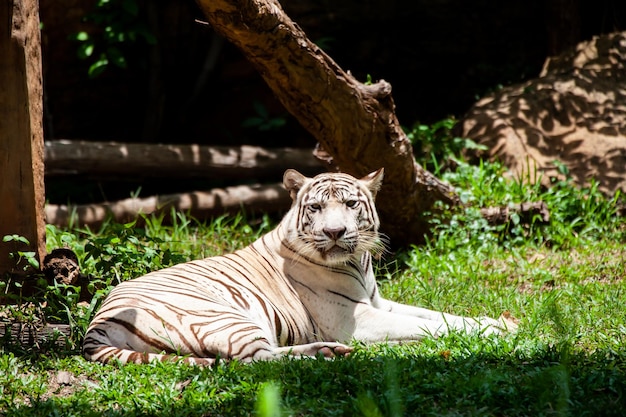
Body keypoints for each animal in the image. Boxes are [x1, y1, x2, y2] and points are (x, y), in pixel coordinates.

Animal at [83, 168, 510, 364]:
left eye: (351, 204)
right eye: (317, 207)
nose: (336, 232)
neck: (358, 262)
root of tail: (96, 323)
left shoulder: (377, 303)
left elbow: (440, 315)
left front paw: (500, 323)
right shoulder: (354, 318)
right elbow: (428, 324)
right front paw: (491, 333)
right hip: (224, 317)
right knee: (257, 359)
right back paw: (329, 353)